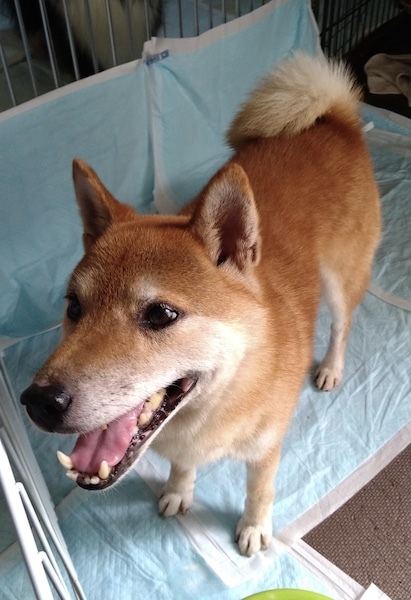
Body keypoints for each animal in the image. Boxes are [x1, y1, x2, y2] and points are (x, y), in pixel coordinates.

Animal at [21, 53, 381, 556]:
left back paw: (330, 367)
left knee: (342, 326)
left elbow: (259, 490)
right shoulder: (183, 447)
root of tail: (334, 121)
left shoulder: (266, 449)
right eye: (74, 306)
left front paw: (253, 527)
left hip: (340, 280)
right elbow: (182, 467)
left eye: (160, 314)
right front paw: (177, 491)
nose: (38, 402)